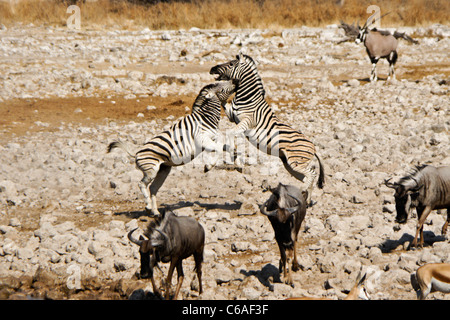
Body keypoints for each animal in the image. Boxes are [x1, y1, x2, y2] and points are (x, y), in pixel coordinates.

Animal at [108, 79, 239, 215]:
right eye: (218, 86)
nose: (235, 80)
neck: (206, 118)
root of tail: (136, 154)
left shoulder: (211, 139)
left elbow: (225, 146)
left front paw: (236, 159)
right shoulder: (202, 140)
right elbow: (218, 148)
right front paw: (208, 167)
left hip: (163, 170)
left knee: (153, 188)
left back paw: (155, 212)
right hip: (151, 170)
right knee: (141, 184)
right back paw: (148, 206)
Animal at [210, 52, 324, 202]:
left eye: (231, 64)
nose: (212, 68)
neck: (247, 99)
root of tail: (314, 147)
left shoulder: (247, 121)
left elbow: (229, 132)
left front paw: (233, 157)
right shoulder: (232, 116)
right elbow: (223, 103)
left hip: (296, 162)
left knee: (312, 174)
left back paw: (302, 191)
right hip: (290, 165)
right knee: (308, 178)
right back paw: (306, 200)